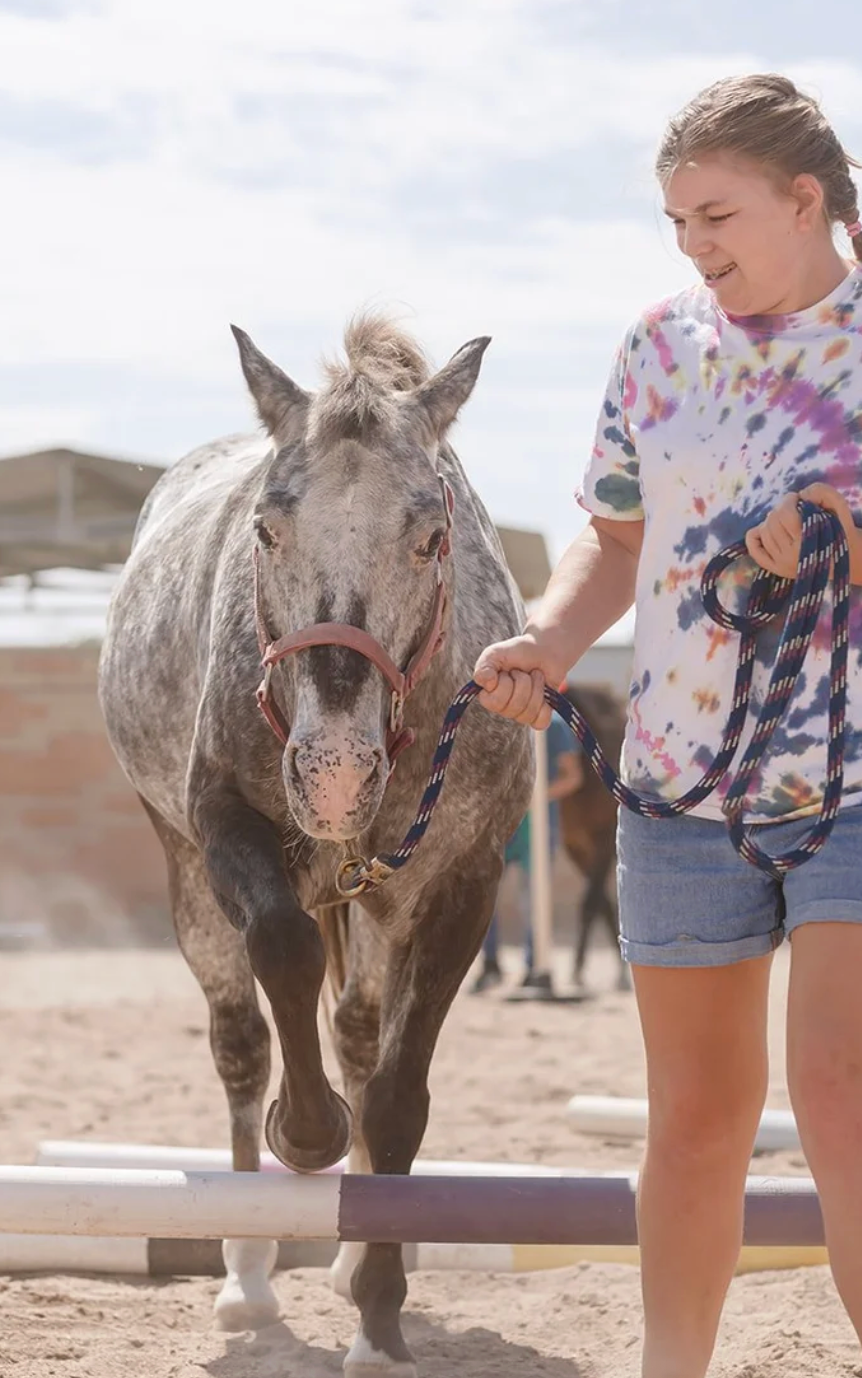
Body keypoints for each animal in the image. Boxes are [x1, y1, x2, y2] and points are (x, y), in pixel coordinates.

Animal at [97, 313, 534, 1377]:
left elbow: (397, 1096)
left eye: (430, 536)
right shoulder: (224, 827)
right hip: (187, 875)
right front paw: (303, 1135)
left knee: (361, 1035)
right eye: (267, 528)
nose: (333, 770)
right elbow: (284, 953)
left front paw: (379, 1312)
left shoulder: (462, 885)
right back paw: (248, 1276)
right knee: (241, 1042)